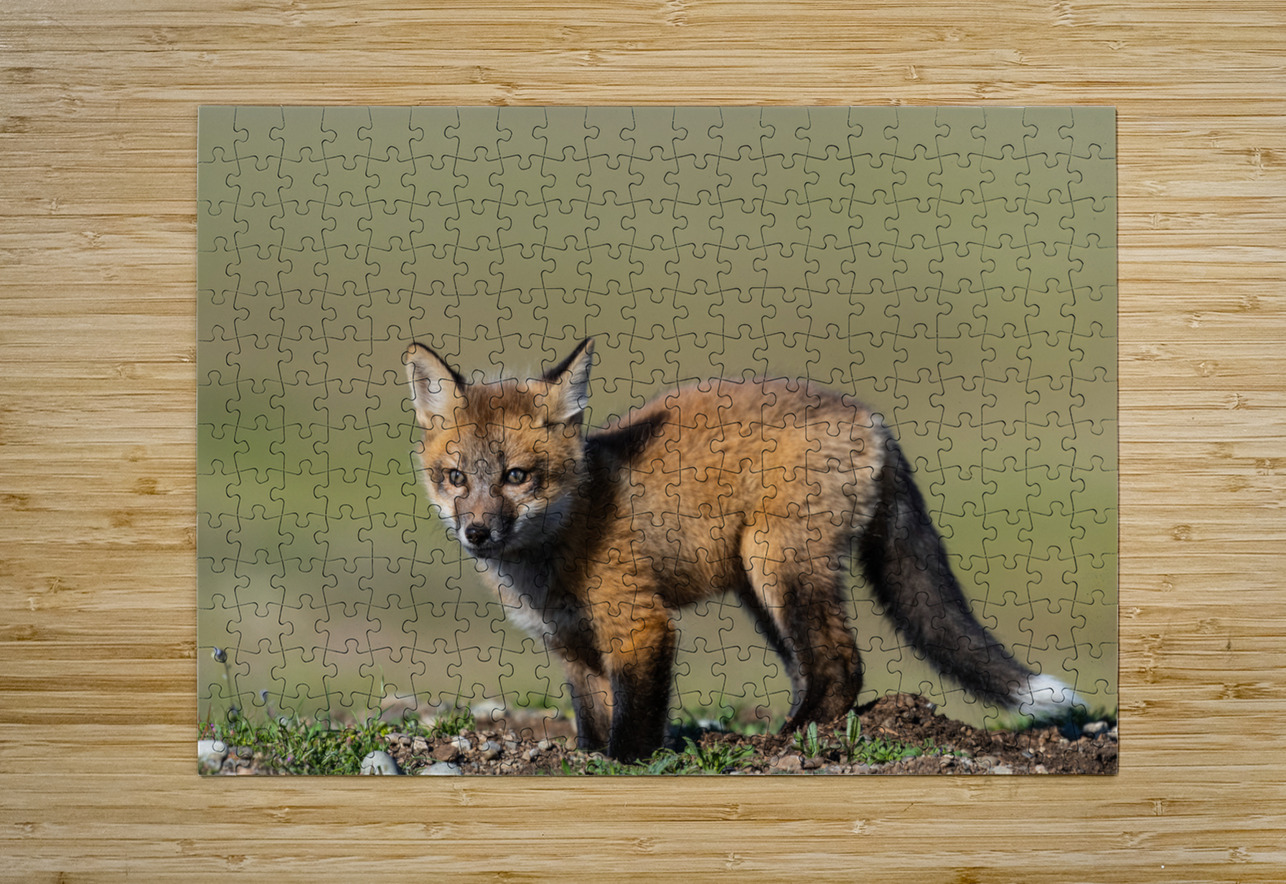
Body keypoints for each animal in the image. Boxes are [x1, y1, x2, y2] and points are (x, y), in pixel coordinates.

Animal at [405, 338, 1082, 761]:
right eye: (456, 477)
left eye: (518, 476)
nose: (477, 534)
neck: (562, 540)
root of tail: (871, 417)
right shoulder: (572, 646)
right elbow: (591, 726)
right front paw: (589, 760)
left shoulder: (641, 626)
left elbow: (632, 728)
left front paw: (625, 765)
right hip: (759, 591)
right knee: (816, 668)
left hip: (779, 567)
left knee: (842, 665)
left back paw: (786, 740)